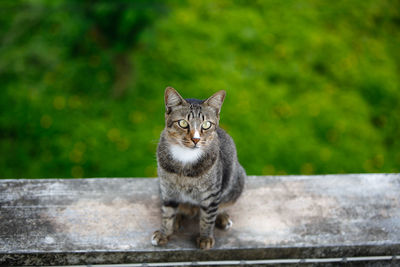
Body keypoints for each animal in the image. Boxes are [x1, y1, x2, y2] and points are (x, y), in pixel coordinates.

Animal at [152, 87, 245, 250]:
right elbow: (167, 214)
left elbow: (208, 218)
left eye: (206, 124)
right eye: (183, 123)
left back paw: (222, 216)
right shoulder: (168, 190)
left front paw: (205, 238)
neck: (185, 158)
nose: (196, 139)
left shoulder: (212, 194)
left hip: (236, 181)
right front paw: (164, 233)